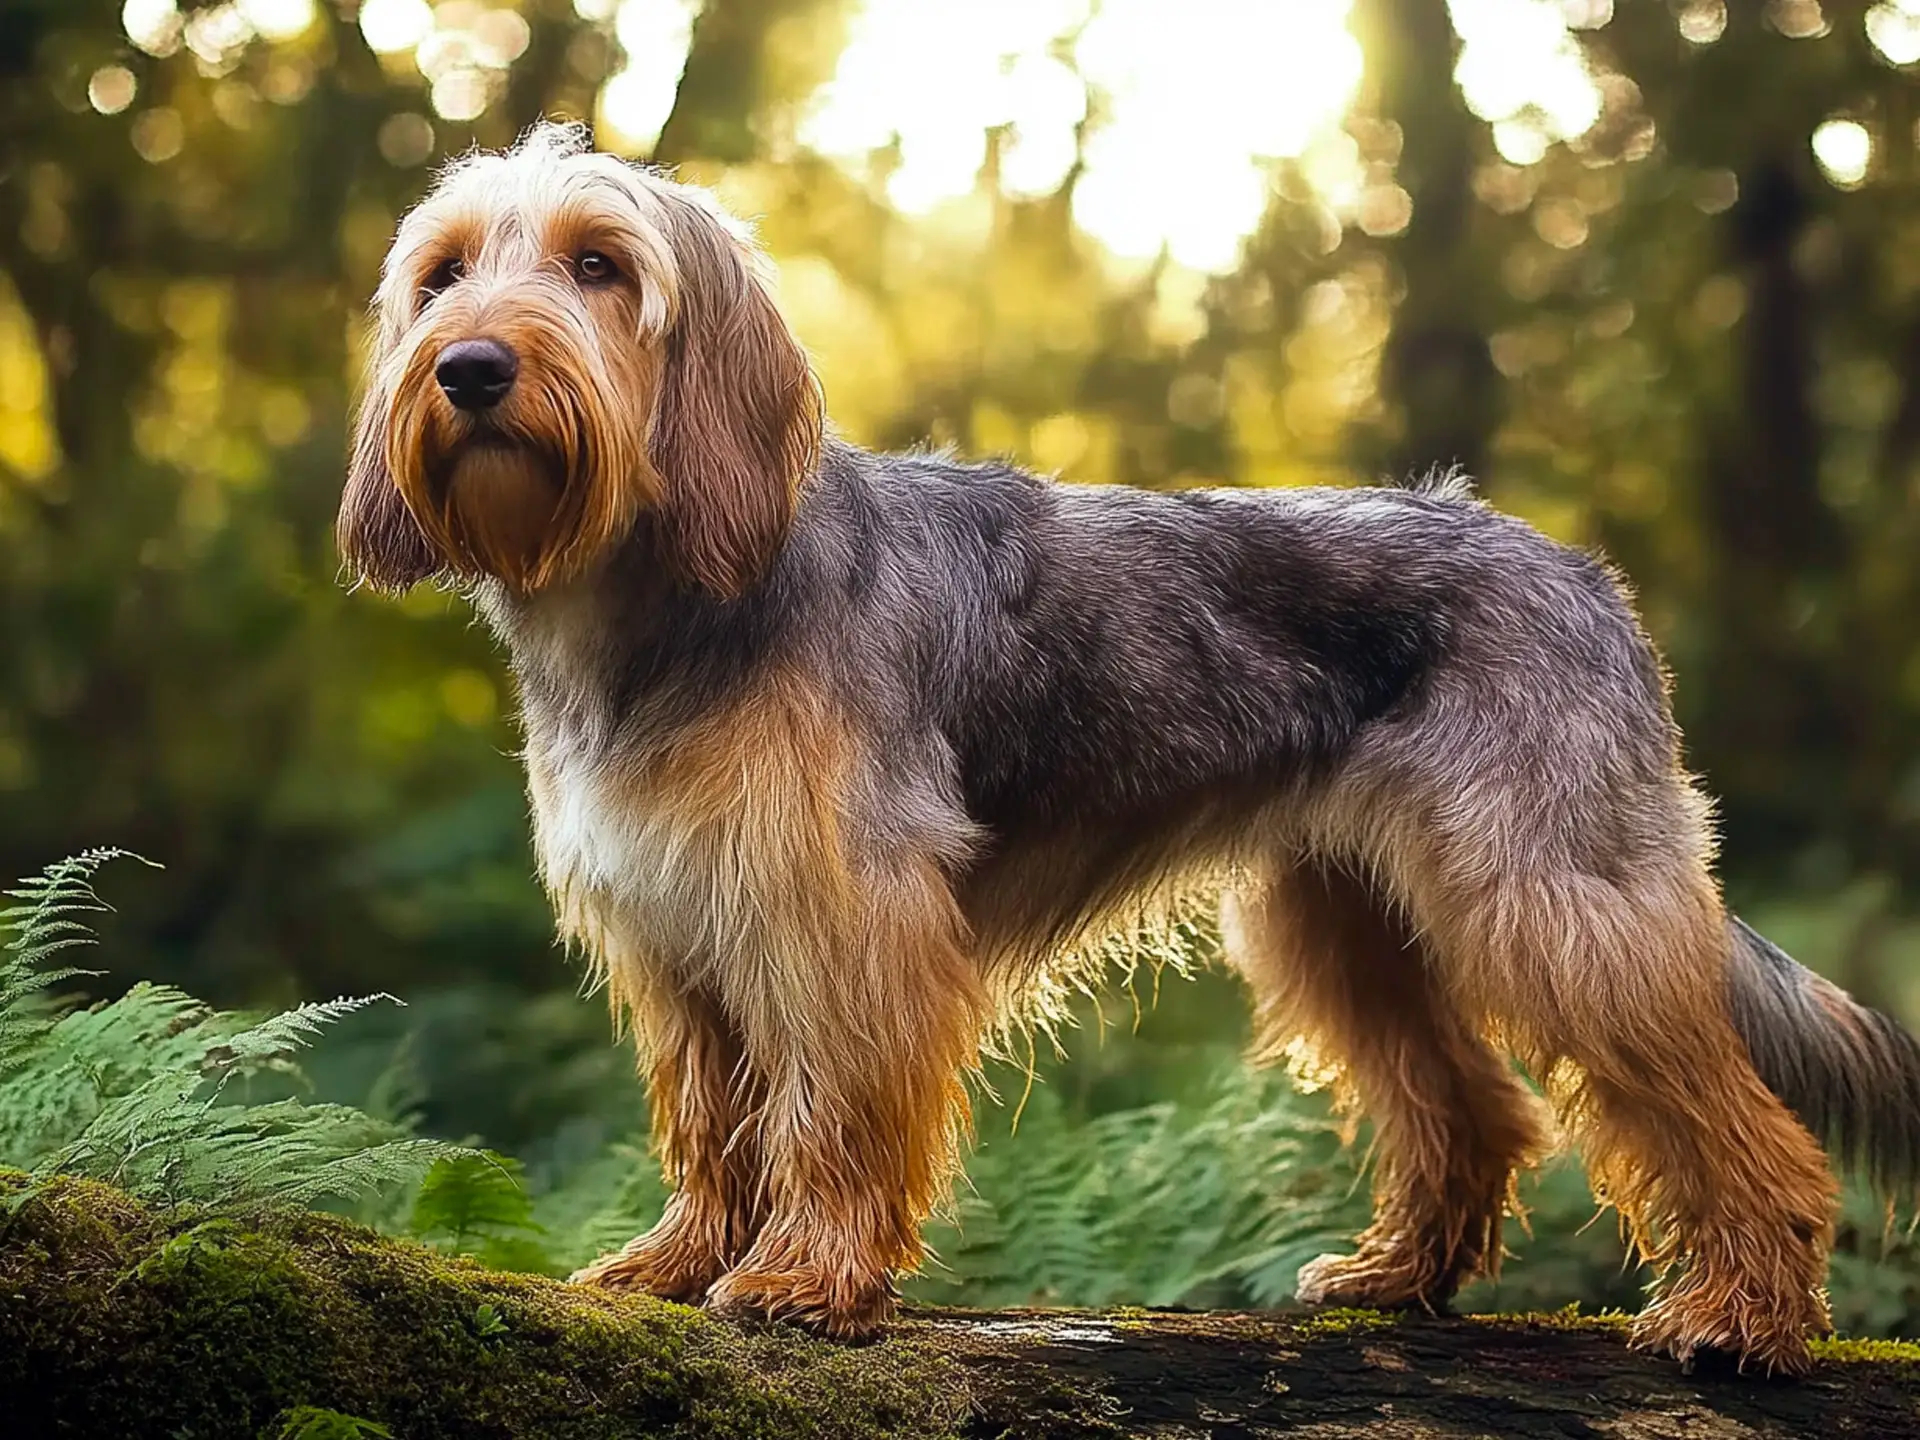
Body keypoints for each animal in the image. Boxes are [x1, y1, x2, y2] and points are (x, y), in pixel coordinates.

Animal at [337, 126, 1920, 1374]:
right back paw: (1397, 1280)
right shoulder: (680, 934)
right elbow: (712, 1125)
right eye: (445, 274)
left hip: (1556, 904)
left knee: (1747, 1126)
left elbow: (829, 1113)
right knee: (1473, 1109)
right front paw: (678, 1263)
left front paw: (802, 1279)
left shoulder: (841, 922)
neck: (658, 606)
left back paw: (1744, 1318)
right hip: (1348, 924)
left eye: (600, 265)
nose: (469, 368)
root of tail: (1581, 570)